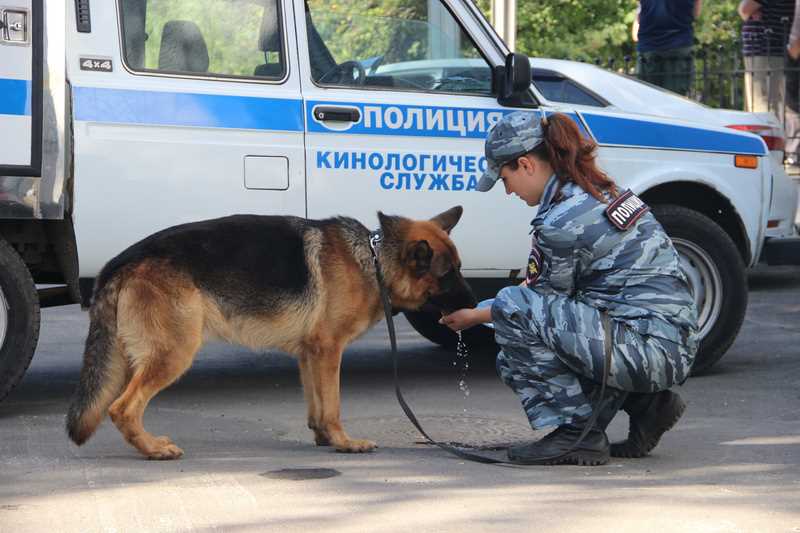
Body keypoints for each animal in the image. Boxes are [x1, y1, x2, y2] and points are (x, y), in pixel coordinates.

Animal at [67, 206, 476, 460]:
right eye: (449, 274)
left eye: (460, 267)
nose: (476, 303)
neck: (374, 260)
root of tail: (120, 262)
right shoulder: (329, 350)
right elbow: (334, 405)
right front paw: (345, 442)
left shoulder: (310, 354)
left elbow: (317, 404)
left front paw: (324, 438)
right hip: (174, 353)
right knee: (121, 408)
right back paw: (153, 450)